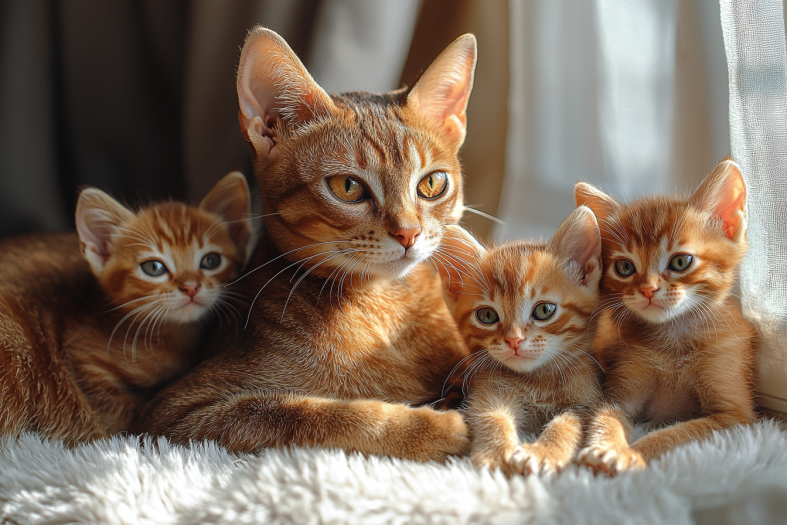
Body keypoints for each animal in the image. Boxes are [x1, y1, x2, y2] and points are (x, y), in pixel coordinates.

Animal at [0, 171, 254, 442]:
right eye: (154, 267)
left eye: (211, 261)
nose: (191, 287)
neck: (169, 337)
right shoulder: (84, 360)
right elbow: (120, 413)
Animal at [135, 26, 478, 460]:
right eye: (347, 187)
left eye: (433, 184)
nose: (408, 233)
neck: (383, 306)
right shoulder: (173, 414)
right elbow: (315, 414)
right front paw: (435, 425)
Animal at [438, 208, 604, 474]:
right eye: (487, 316)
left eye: (545, 310)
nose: (514, 340)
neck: (536, 379)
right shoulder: (487, 393)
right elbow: (491, 416)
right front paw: (496, 455)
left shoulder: (587, 403)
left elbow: (569, 422)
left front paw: (544, 451)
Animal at [576, 158, 760, 472]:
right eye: (624, 267)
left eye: (681, 261)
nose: (648, 289)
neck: (674, 341)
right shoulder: (618, 397)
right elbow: (606, 420)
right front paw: (607, 447)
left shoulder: (733, 415)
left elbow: (675, 433)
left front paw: (637, 452)